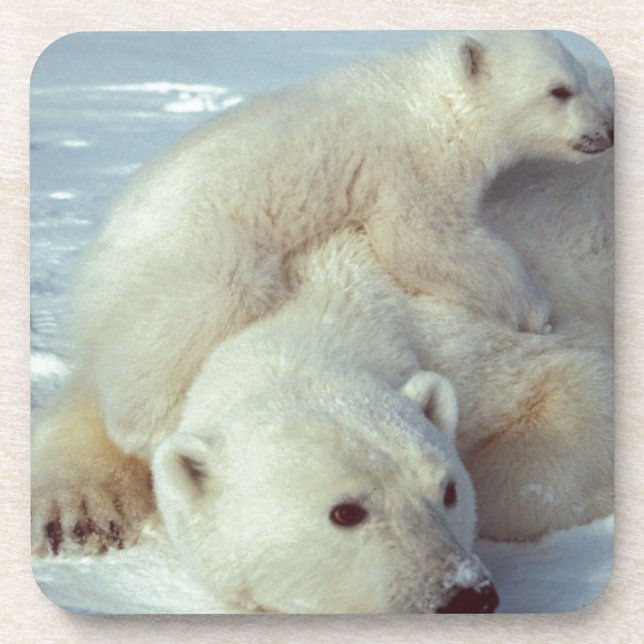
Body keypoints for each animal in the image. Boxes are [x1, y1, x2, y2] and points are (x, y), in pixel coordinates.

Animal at [63, 31, 612, 462]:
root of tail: (89, 273)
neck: (431, 103)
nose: (606, 131)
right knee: (198, 311)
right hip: (193, 252)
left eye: (583, 79)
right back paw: (147, 426)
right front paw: (535, 310)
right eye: (558, 90)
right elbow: (420, 238)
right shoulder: (407, 162)